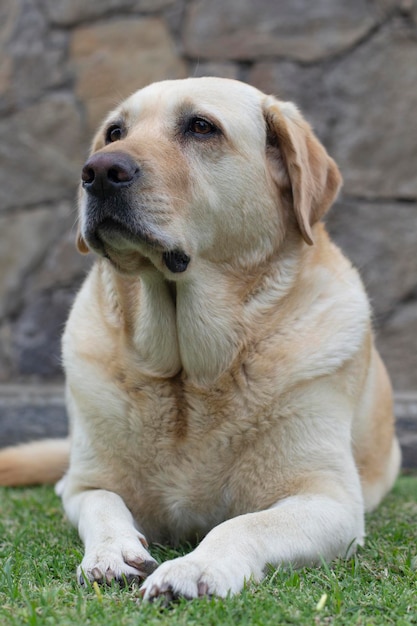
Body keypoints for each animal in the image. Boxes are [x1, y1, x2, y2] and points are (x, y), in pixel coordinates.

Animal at [0, 78, 400, 600]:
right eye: (114, 132)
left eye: (201, 127)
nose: (99, 171)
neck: (189, 376)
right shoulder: (83, 484)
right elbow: (104, 503)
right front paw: (110, 552)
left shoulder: (329, 500)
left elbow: (242, 524)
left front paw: (195, 568)